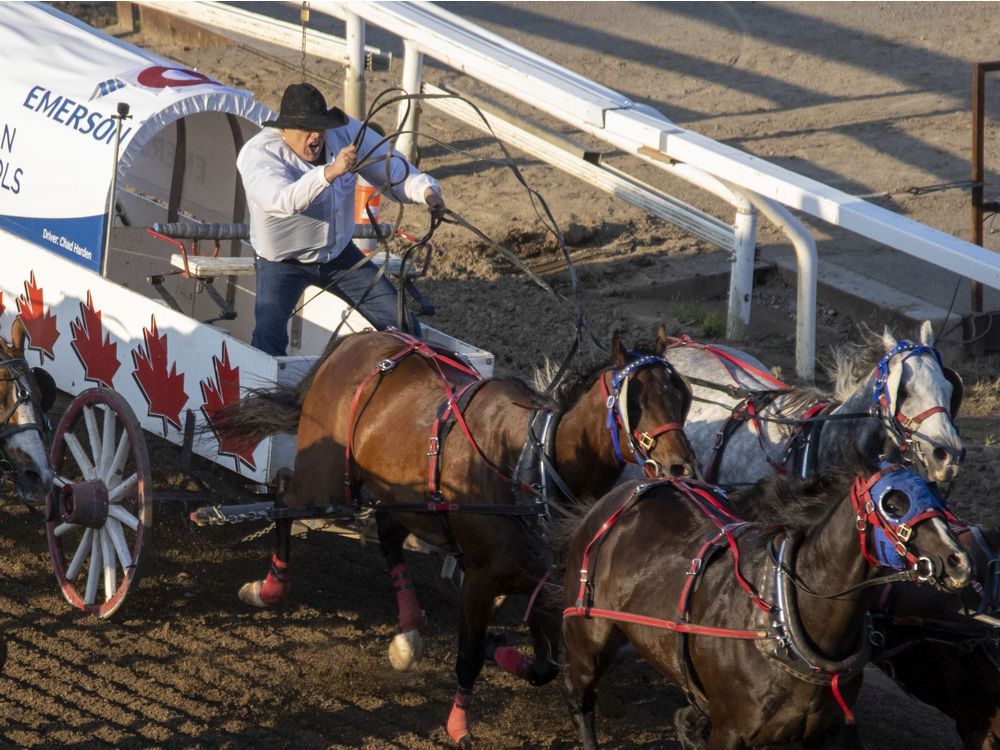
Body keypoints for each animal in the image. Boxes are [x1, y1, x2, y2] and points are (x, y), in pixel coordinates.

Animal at [217, 328, 704, 748]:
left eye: (681, 396)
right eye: (634, 399)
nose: (680, 465)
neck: (530, 466)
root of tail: (357, 340)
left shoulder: (540, 582)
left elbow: (544, 665)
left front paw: (504, 654)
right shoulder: (480, 579)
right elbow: (468, 656)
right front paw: (459, 724)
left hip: (403, 499)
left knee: (387, 535)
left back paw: (407, 634)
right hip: (328, 483)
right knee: (284, 493)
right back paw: (269, 587)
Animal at [568, 458, 972, 750]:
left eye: (938, 497)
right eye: (893, 503)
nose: (959, 561)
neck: (782, 623)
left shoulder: (830, 731)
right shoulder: (730, 731)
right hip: (589, 639)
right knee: (581, 700)